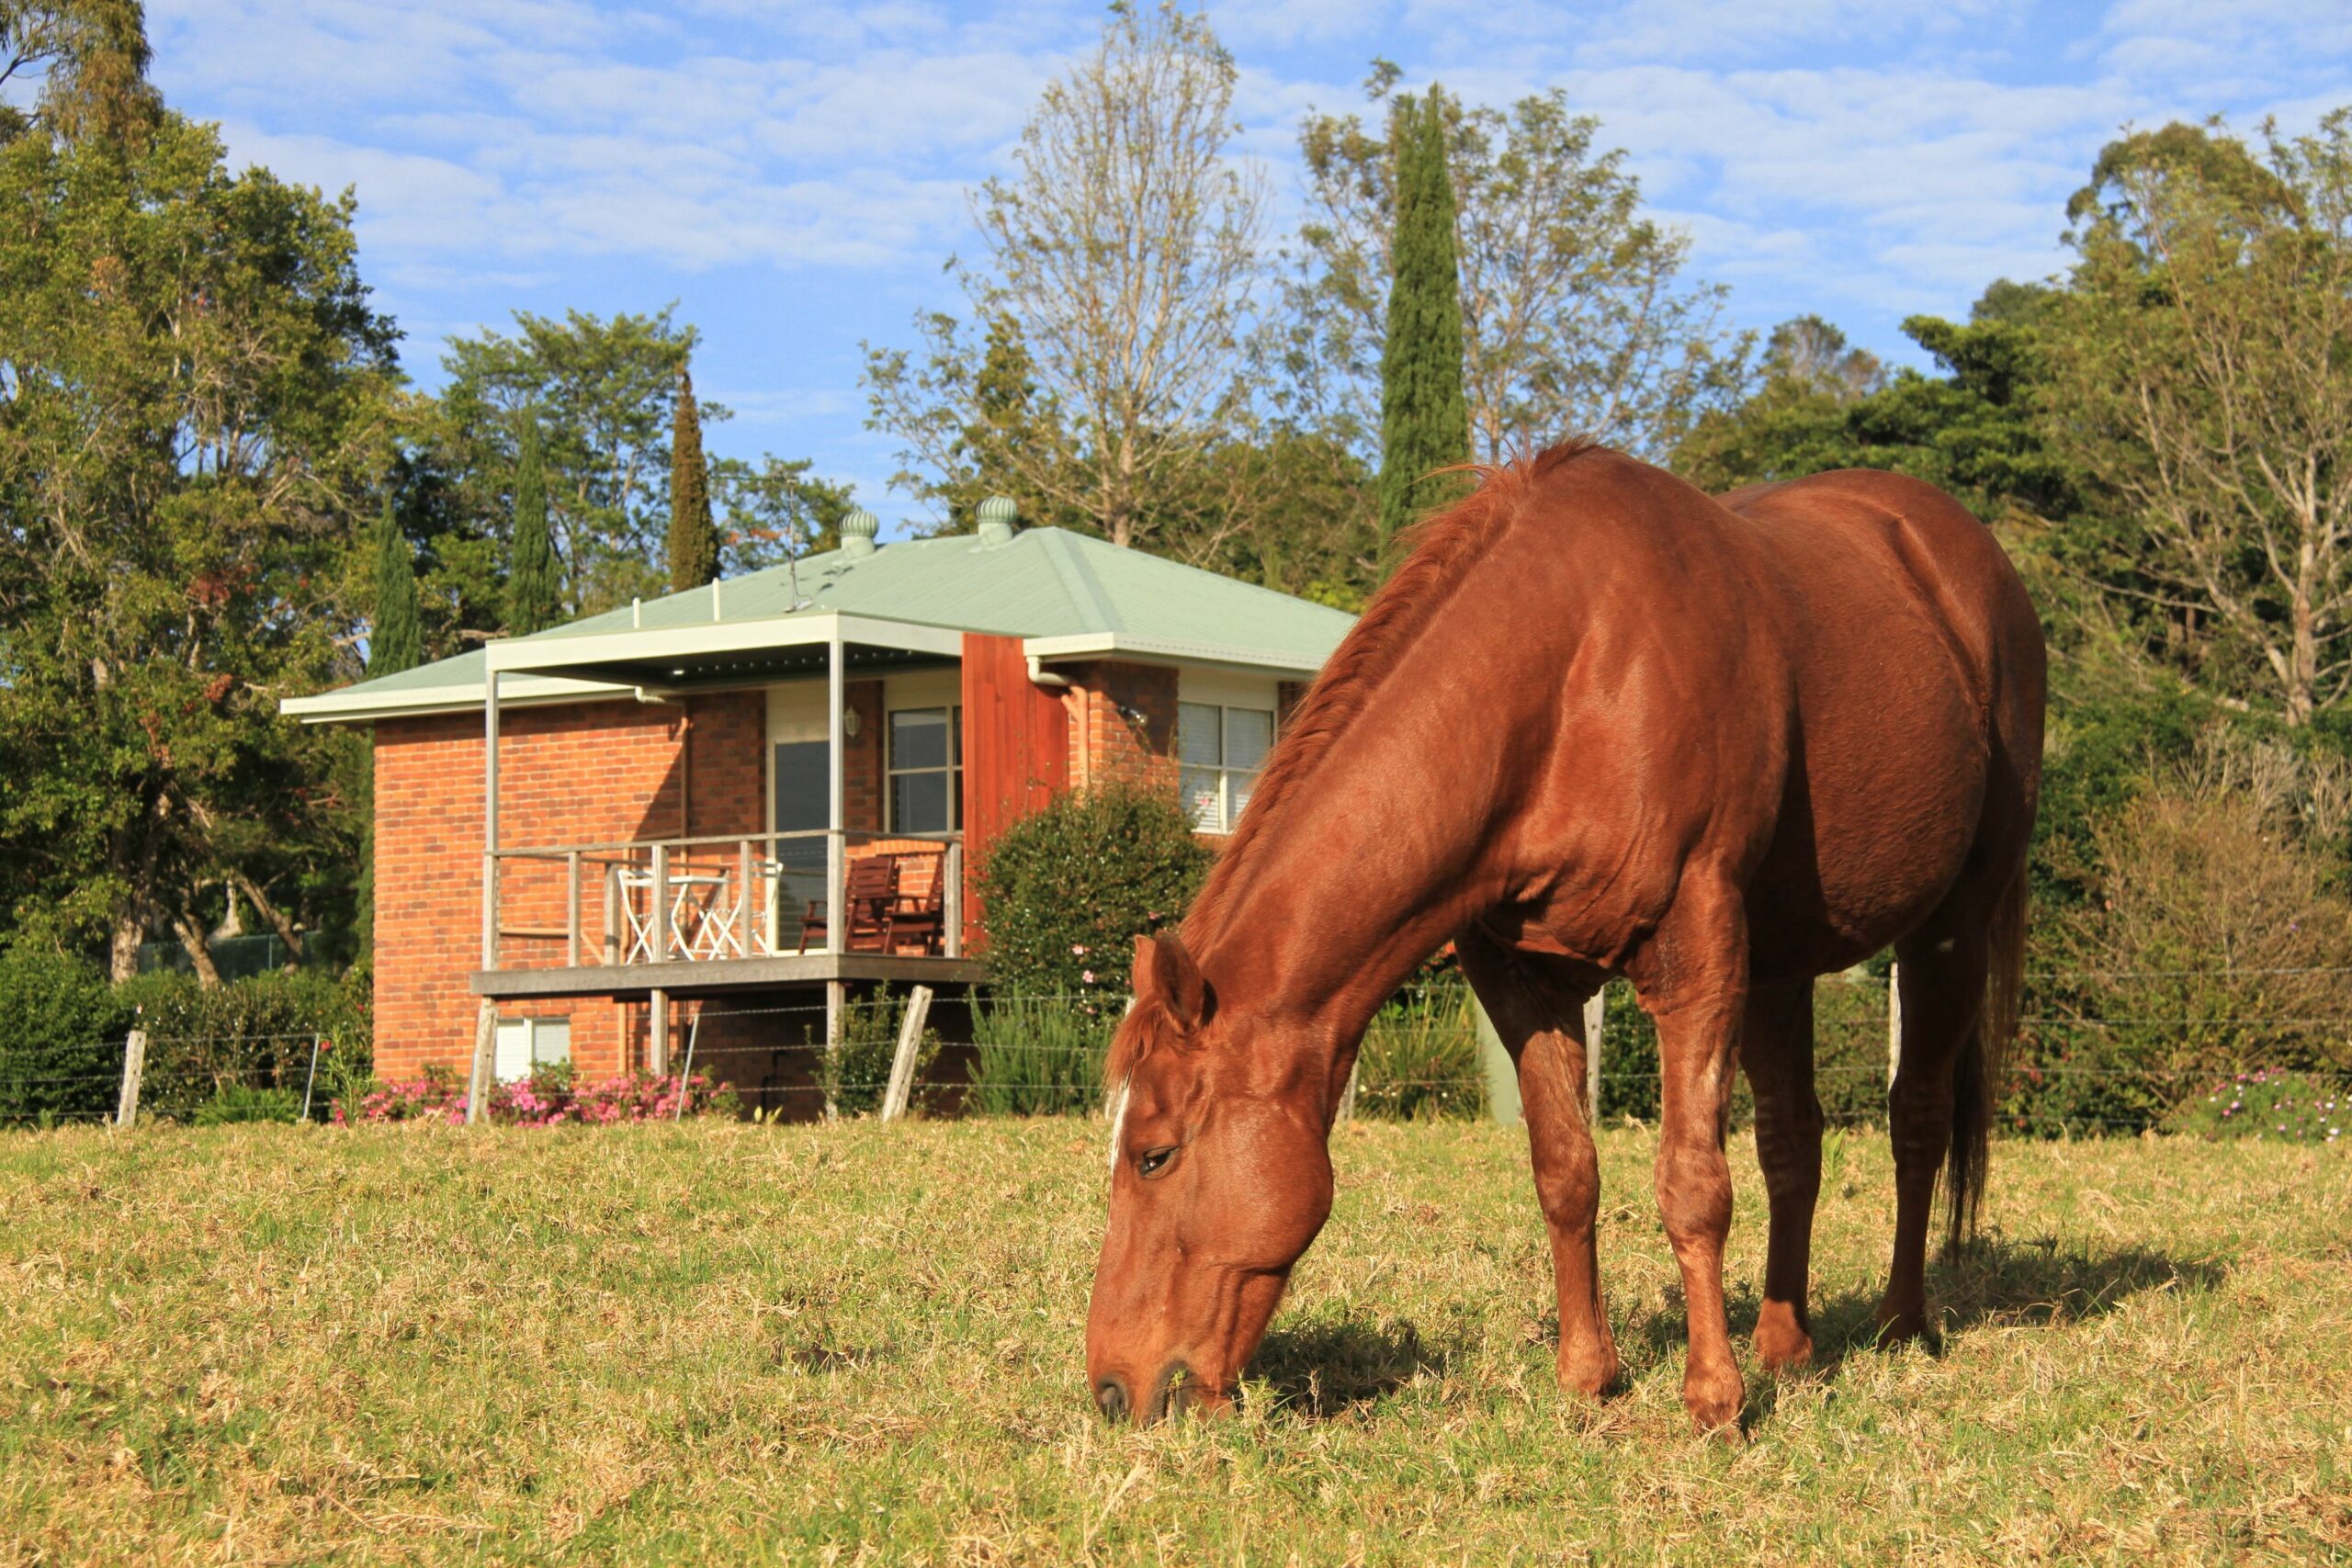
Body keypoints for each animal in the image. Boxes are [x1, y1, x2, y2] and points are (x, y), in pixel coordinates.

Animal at [1081, 439, 2041, 1438]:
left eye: (1154, 1154)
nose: (1112, 1388)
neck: (1575, 679)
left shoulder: (1697, 960)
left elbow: (1692, 1183)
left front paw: (1713, 1398)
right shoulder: (1524, 980)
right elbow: (1566, 1173)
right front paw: (1589, 1375)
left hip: (1949, 929)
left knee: (1916, 1119)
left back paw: (1900, 1325)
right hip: (1784, 960)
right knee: (1793, 1140)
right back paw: (1788, 1346)